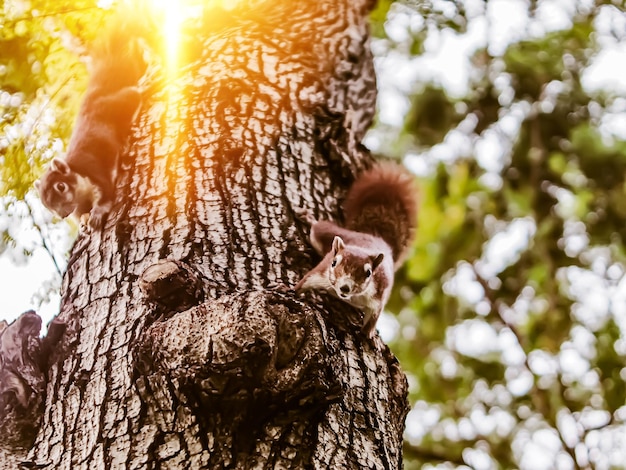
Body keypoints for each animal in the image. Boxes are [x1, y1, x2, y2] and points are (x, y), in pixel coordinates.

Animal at [35, 21, 145, 230]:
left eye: (60, 186)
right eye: (44, 203)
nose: (63, 215)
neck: (80, 193)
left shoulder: (95, 174)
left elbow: (105, 195)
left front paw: (97, 213)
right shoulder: (78, 206)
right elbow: (80, 214)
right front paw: (85, 219)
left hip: (117, 106)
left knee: (133, 96)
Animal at [294, 162, 420, 338]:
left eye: (369, 273)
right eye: (334, 262)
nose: (345, 287)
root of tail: (375, 236)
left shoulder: (378, 297)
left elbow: (373, 318)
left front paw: (367, 336)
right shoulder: (321, 273)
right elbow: (304, 281)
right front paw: (286, 289)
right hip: (324, 234)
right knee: (318, 227)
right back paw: (307, 217)